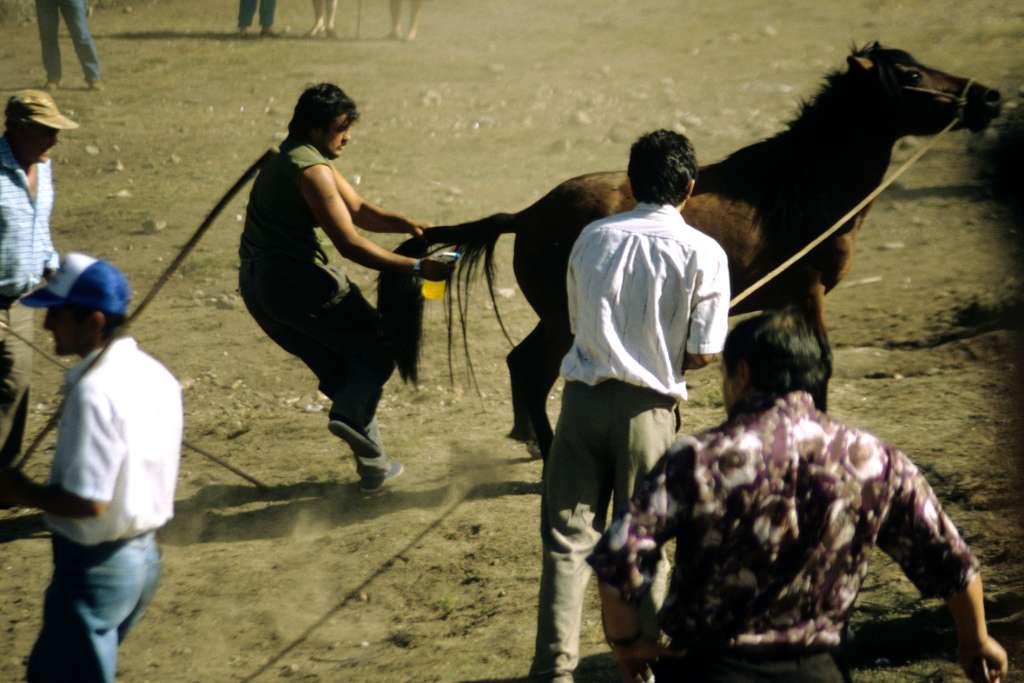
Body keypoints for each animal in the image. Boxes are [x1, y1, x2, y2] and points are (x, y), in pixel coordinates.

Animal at [378, 41, 999, 458]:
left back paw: (530, 440)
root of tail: (528, 214)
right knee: (531, 371)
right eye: (912, 74)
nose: (989, 97)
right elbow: (818, 365)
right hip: (564, 321)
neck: (797, 184)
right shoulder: (809, 292)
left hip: (558, 318)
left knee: (519, 364)